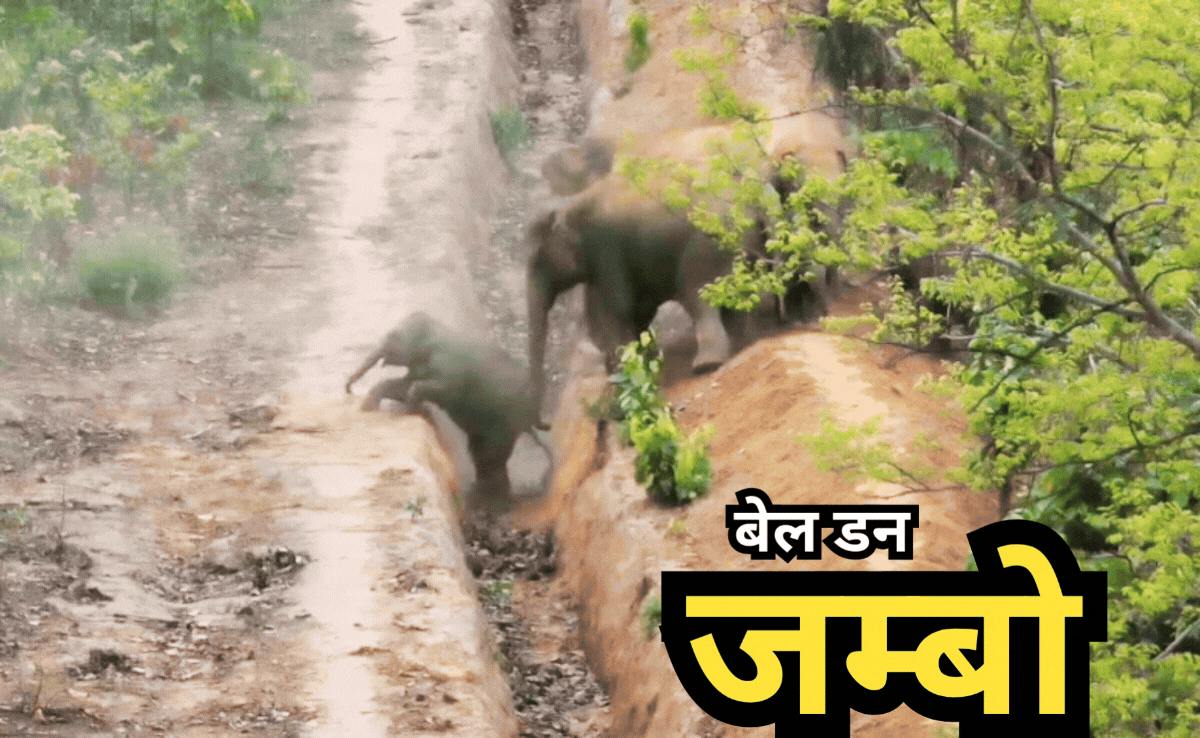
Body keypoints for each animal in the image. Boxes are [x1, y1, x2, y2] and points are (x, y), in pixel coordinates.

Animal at [346, 312, 549, 506]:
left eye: (391, 335)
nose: (348, 389)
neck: (436, 328)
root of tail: (534, 415)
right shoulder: (419, 365)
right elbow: (399, 385)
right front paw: (369, 407)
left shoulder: (449, 368)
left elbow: (428, 387)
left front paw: (404, 409)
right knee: (480, 452)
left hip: (505, 422)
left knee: (491, 456)